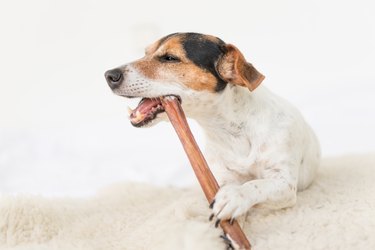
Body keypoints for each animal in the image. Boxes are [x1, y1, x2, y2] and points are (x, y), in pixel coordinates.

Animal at [104, 32, 322, 225]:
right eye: (145, 52)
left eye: (170, 58)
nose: (109, 75)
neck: (233, 131)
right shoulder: (224, 178)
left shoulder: (285, 183)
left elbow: (255, 184)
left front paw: (235, 196)